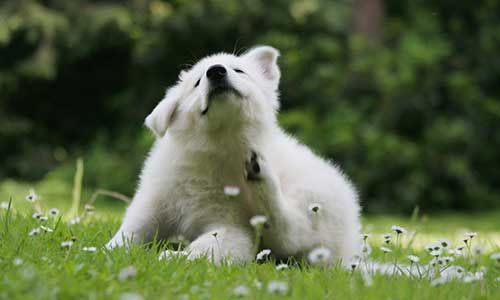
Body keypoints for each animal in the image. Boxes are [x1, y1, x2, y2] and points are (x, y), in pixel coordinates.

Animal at [107, 45, 362, 264]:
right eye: (197, 82)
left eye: (239, 70)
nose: (216, 72)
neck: (218, 146)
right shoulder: (155, 199)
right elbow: (132, 228)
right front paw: (109, 250)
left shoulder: (232, 225)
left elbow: (207, 247)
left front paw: (174, 257)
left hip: (314, 198)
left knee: (291, 233)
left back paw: (261, 175)